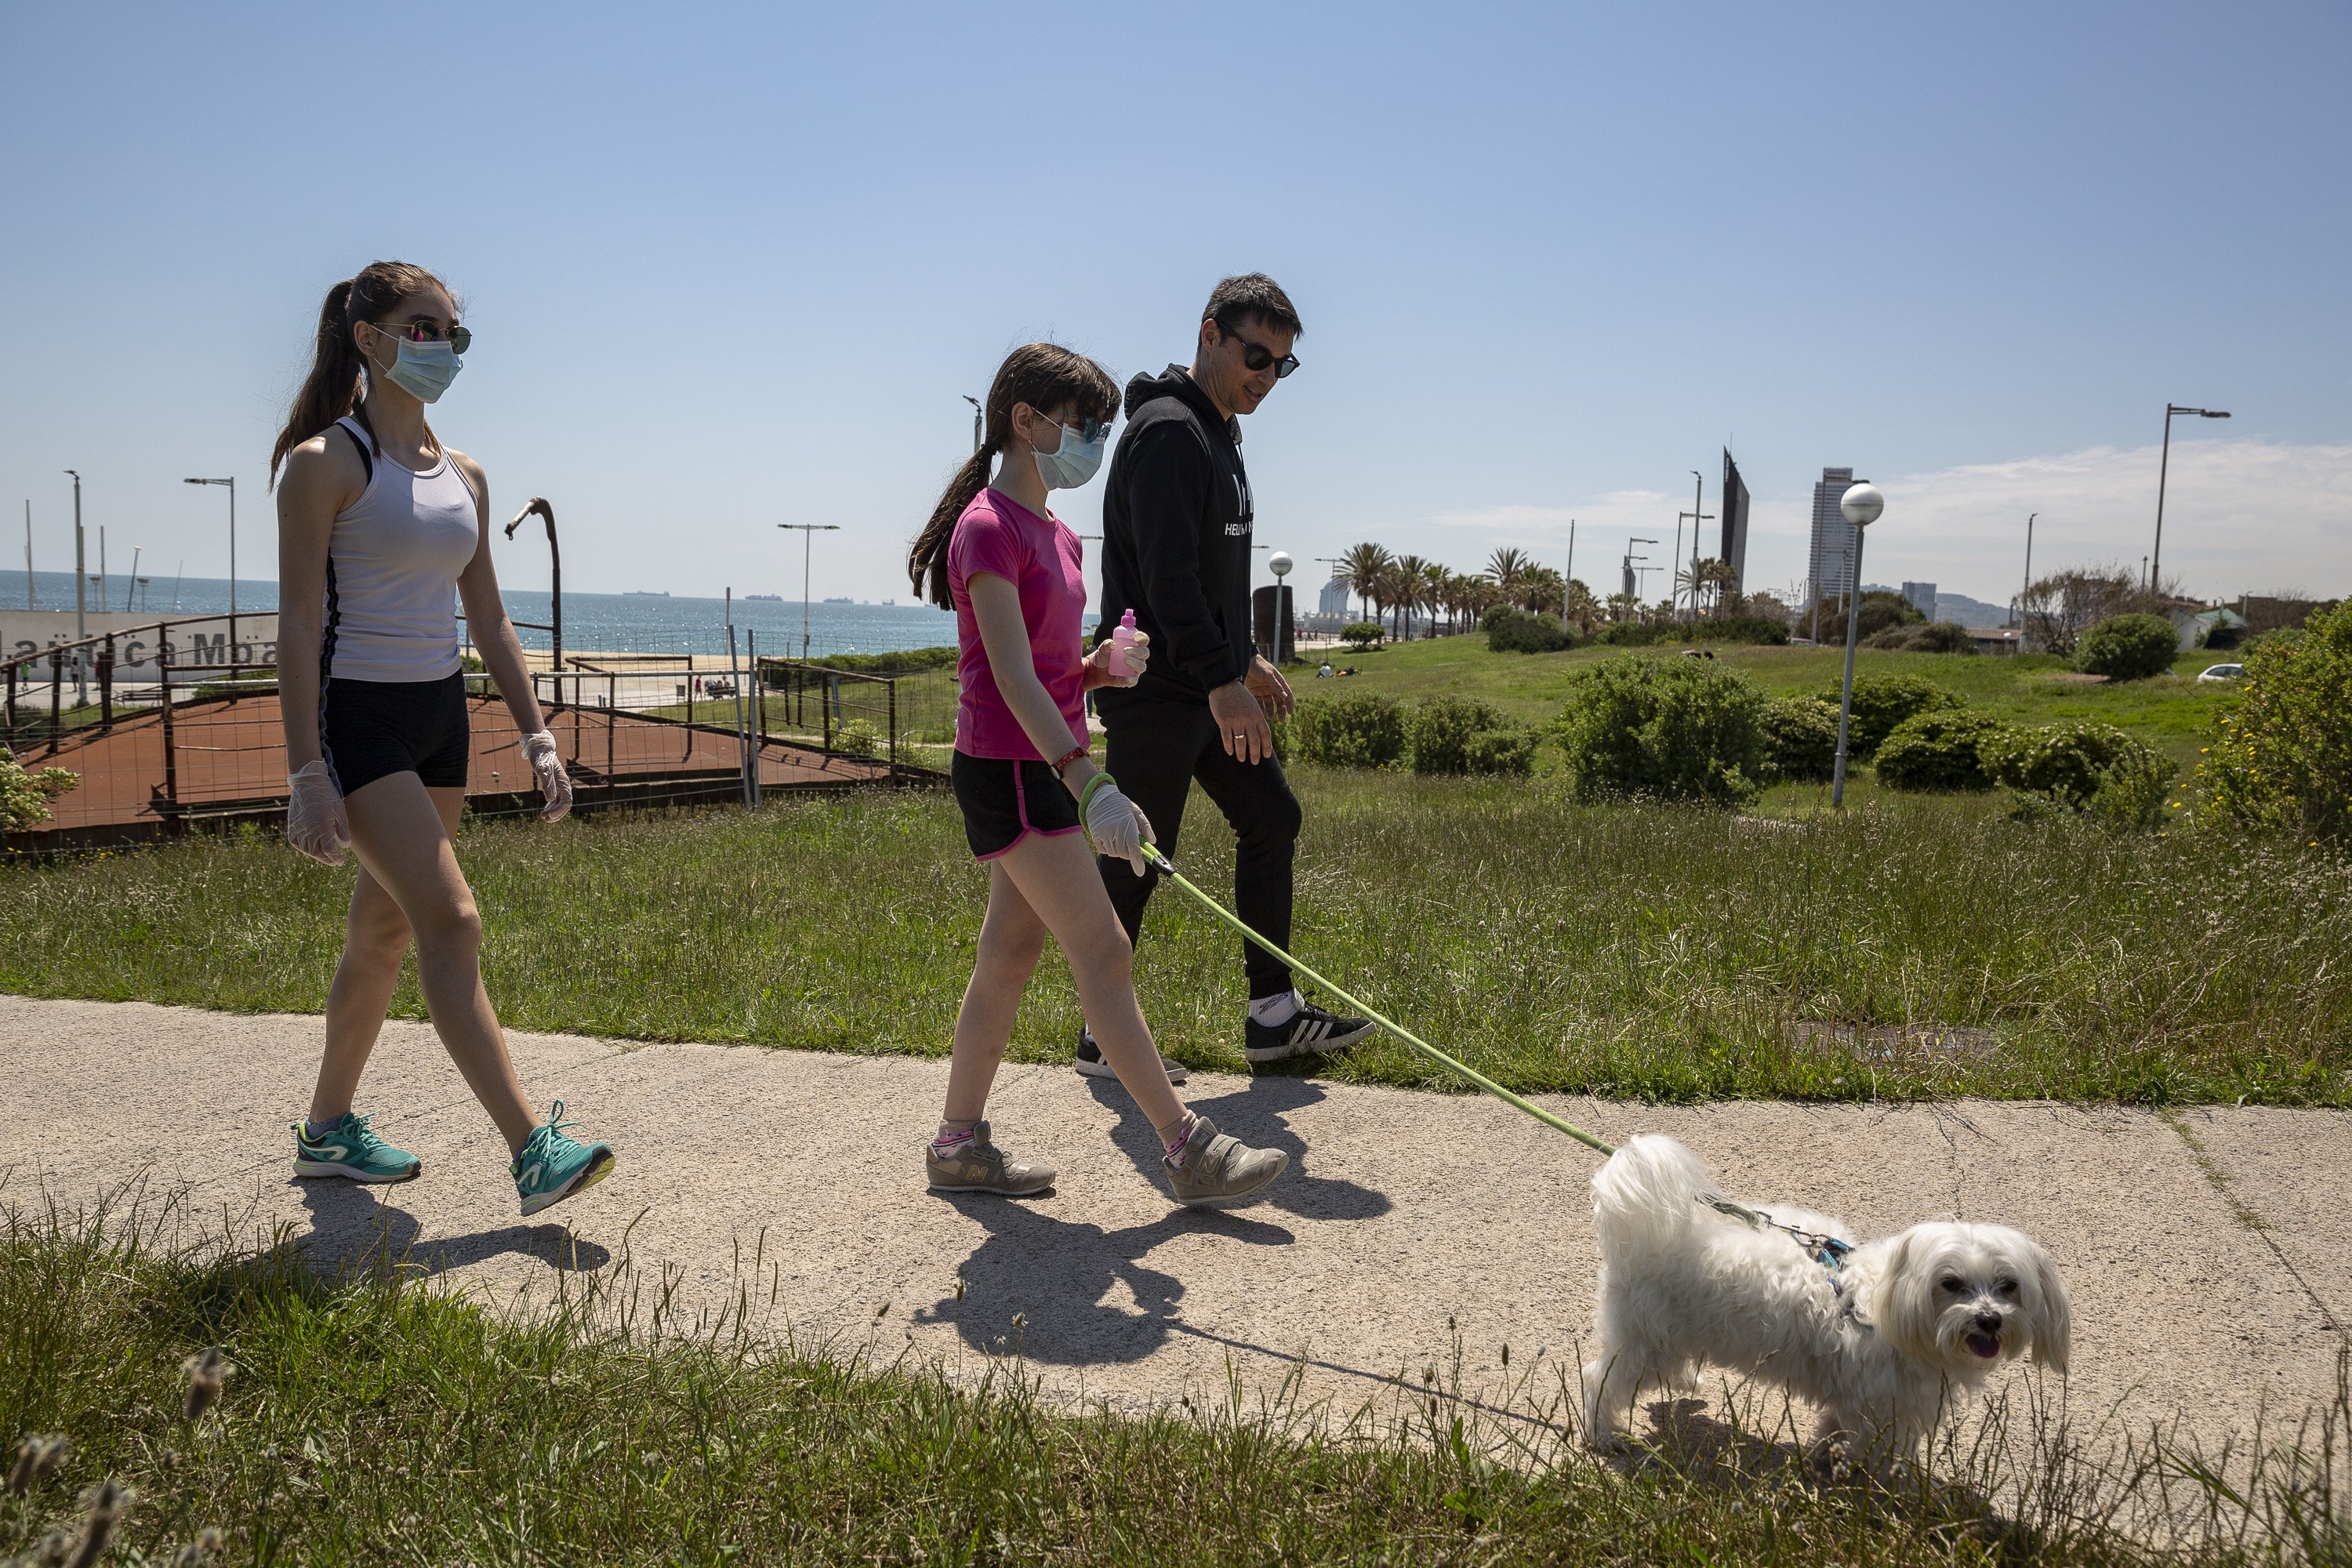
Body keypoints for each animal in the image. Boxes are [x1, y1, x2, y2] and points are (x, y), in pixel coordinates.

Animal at [1581, 1133, 2079, 1467]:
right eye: (1951, 1283)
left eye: (2008, 1285)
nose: (1989, 1319)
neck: (1890, 1309)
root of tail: (1640, 1241)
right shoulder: (1884, 1406)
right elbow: (1873, 1451)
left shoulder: (1860, 1397)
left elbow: (1836, 1427)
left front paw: (1827, 1454)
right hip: (1646, 1342)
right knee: (1598, 1380)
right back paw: (1602, 1435)